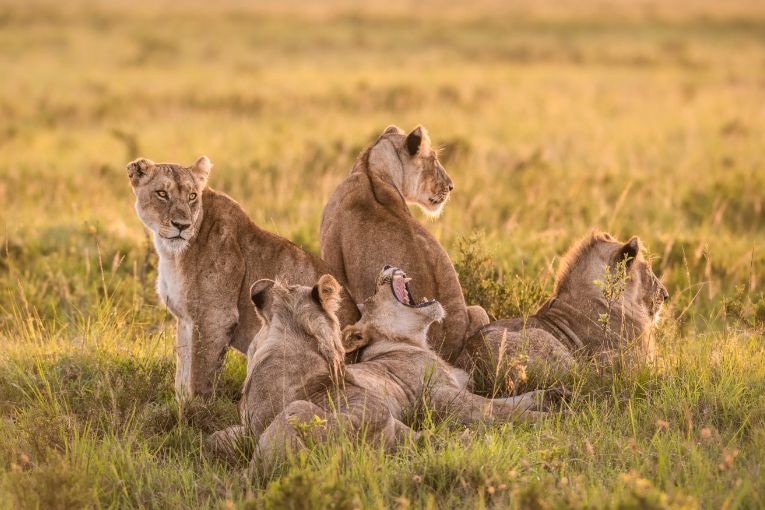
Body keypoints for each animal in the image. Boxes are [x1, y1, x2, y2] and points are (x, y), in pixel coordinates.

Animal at [127, 155, 360, 402]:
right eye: (162, 193)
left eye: (192, 196)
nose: (182, 226)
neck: (172, 253)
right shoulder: (186, 320)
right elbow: (182, 372)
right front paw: (179, 407)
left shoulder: (214, 317)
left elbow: (199, 375)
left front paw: (195, 410)